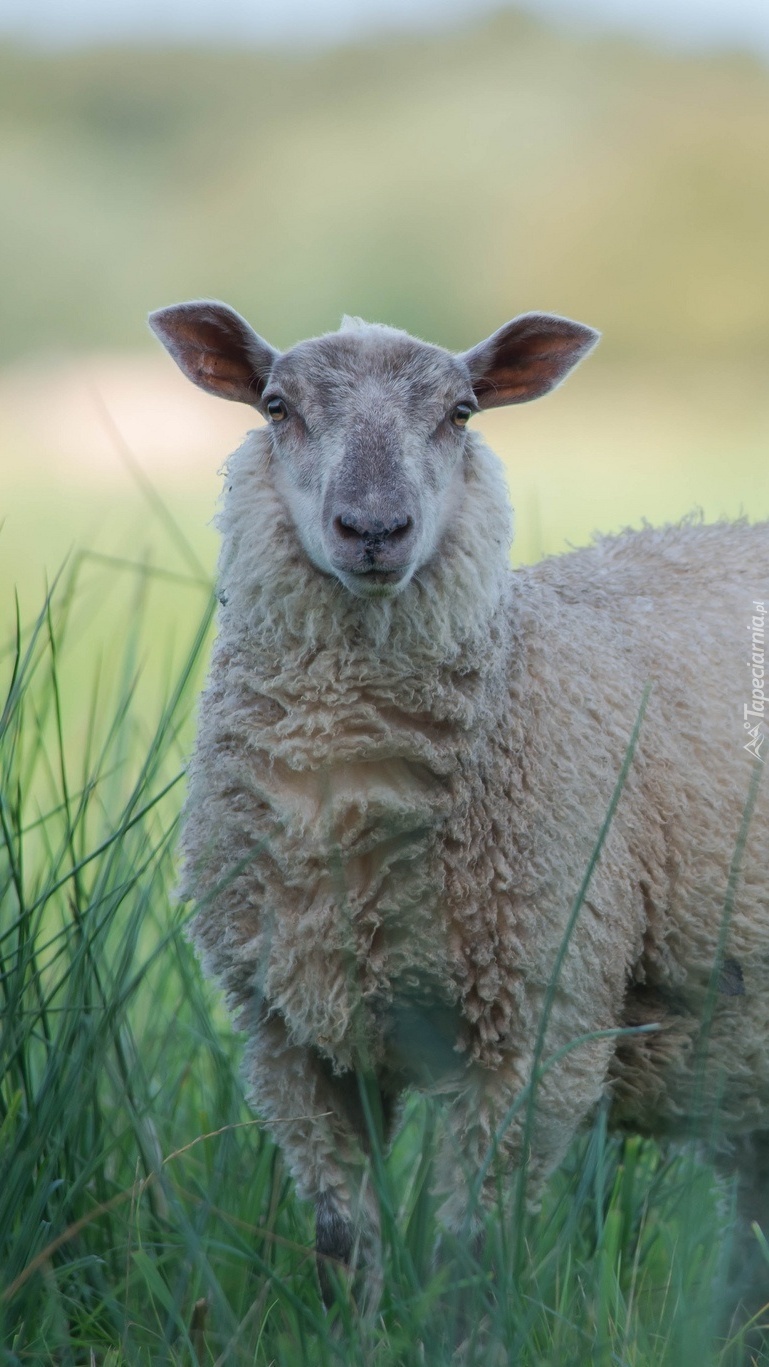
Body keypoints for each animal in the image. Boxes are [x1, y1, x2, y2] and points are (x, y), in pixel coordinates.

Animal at [148, 302, 769, 1312]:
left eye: (462, 412)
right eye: (277, 405)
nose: (373, 527)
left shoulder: (537, 1030)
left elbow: (466, 1258)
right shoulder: (292, 1043)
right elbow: (343, 1244)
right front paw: (352, 1331)